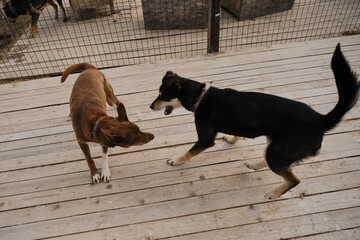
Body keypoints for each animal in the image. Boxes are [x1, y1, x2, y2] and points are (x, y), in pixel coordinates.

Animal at [150, 44, 358, 200]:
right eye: (157, 94)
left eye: (163, 96)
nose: (151, 106)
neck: (200, 96)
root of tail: (320, 120)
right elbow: (237, 133)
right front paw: (232, 139)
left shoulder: (205, 139)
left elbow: (189, 152)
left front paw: (176, 160)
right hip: (274, 147)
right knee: (276, 163)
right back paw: (255, 165)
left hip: (278, 152)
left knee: (294, 179)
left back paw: (274, 194)